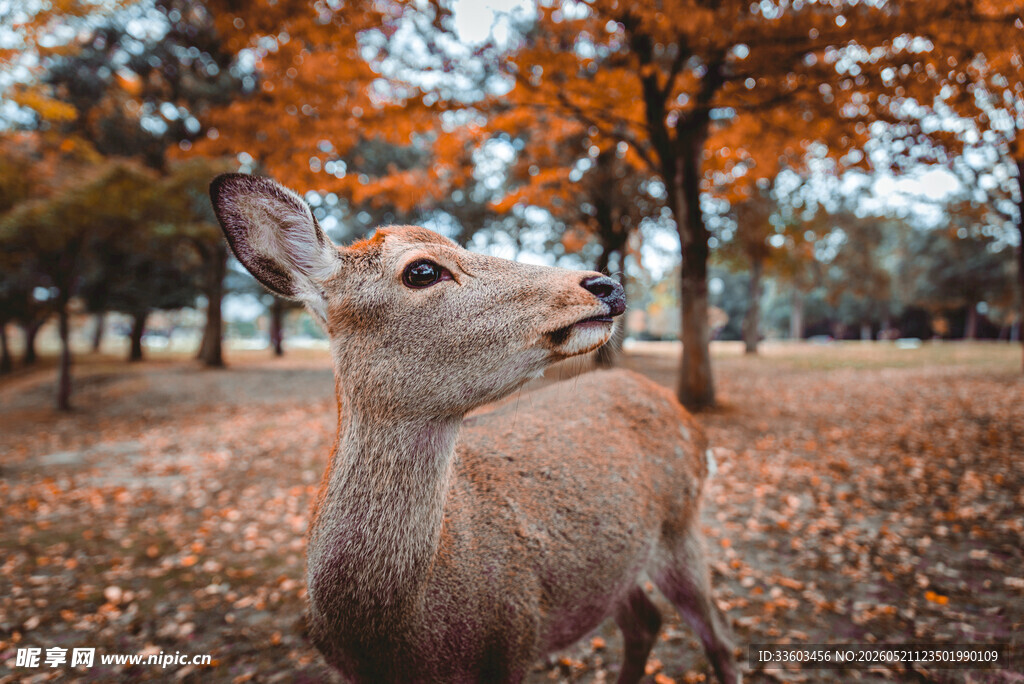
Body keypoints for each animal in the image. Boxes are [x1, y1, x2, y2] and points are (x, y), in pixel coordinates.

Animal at [209, 173, 739, 684]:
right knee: (646, 621)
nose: (606, 285)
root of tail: (690, 423)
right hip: (619, 567)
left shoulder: (512, 644)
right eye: (422, 271)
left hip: (682, 527)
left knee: (718, 638)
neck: (393, 642)